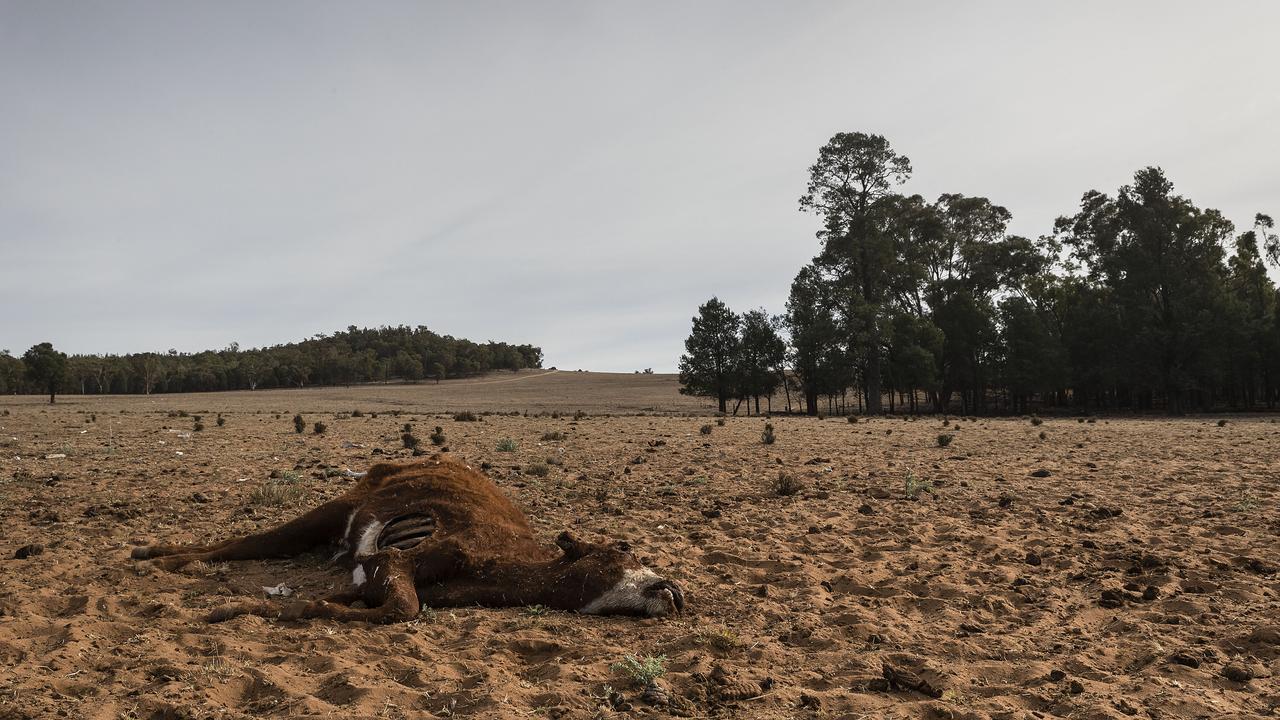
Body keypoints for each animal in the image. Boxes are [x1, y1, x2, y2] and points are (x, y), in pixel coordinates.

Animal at [133, 456, 686, 620]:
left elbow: (364, 602)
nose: (675, 588)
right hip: (335, 509)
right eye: (622, 549)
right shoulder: (398, 563)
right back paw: (155, 557)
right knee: (247, 544)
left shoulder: (371, 577)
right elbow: (402, 608)